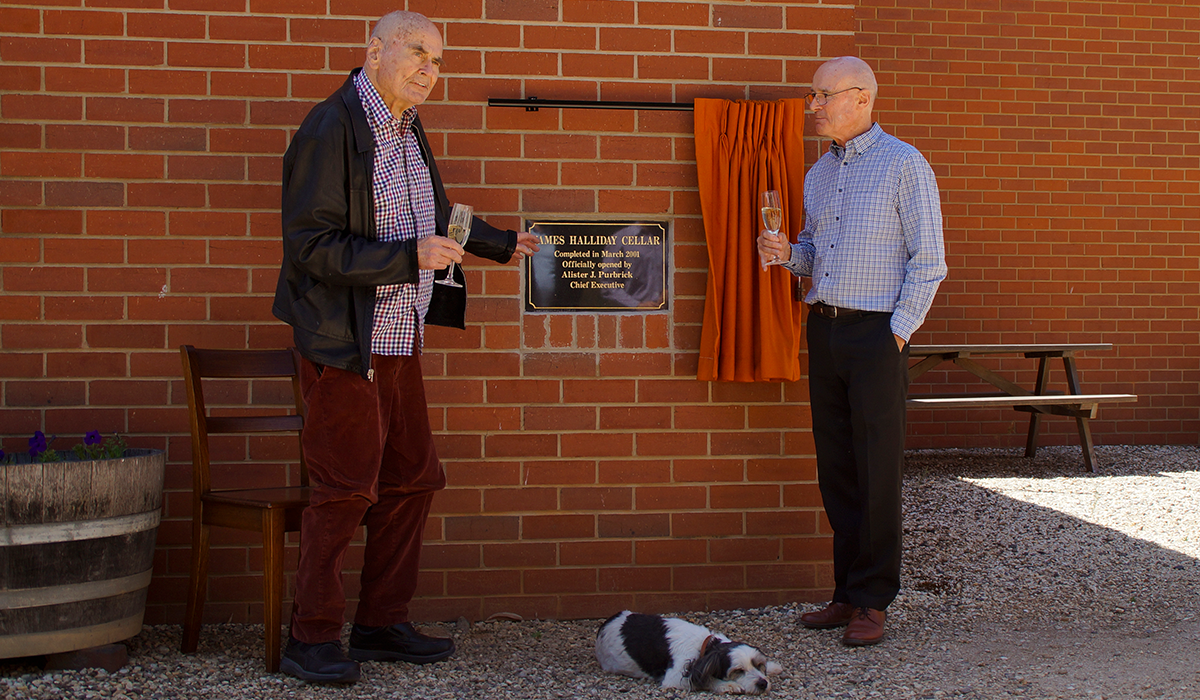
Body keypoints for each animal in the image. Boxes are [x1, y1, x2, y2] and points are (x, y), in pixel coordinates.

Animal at [595, 609, 782, 691]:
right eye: (738, 671)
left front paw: (773, 667)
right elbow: (705, 680)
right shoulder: (674, 678)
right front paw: (727, 685)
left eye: (758, 665)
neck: (705, 646)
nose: (763, 683)